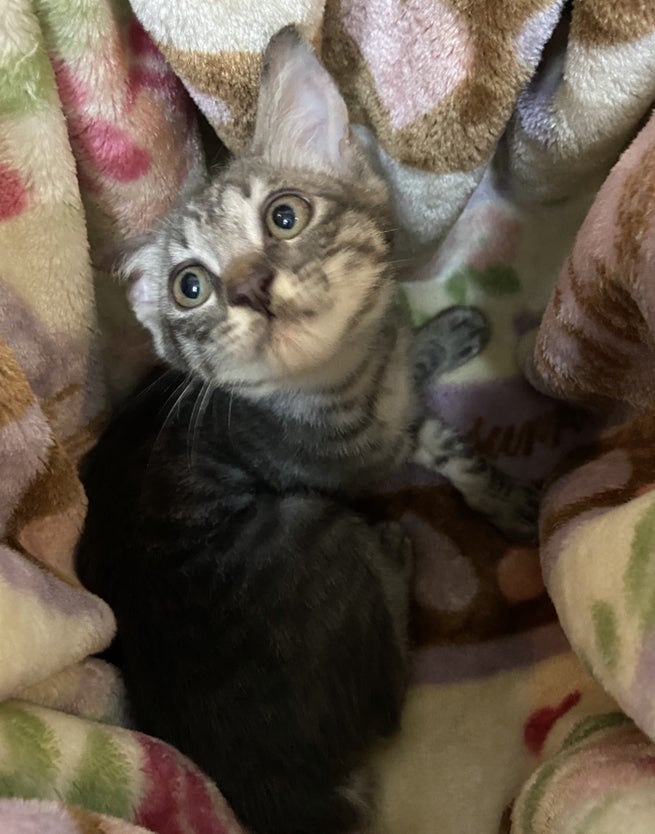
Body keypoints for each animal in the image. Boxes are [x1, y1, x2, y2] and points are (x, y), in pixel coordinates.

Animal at [76, 25, 537, 834]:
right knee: (387, 705)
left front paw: (446, 341)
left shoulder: (388, 396)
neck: (351, 378)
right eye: (190, 286)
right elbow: (425, 428)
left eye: (284, 216)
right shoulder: (356, 463)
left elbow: (430, 412)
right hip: (309, 525)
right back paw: (395, 555)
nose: (250, 287)